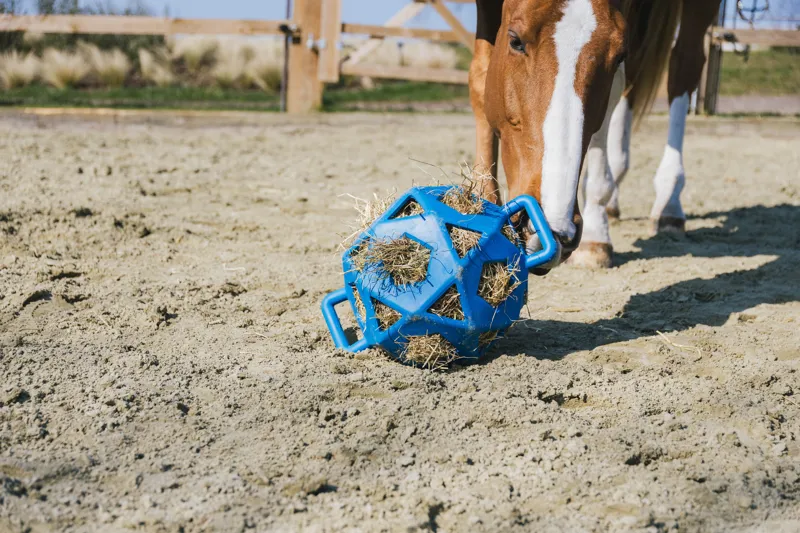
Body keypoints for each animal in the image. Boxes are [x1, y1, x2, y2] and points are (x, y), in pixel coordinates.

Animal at [470, 0, 721, 272]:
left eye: (618, 54)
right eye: (515, 41)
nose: (551, 230)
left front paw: (596, 232)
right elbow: (480, 77)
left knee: (682, 67)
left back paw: (668, 202)